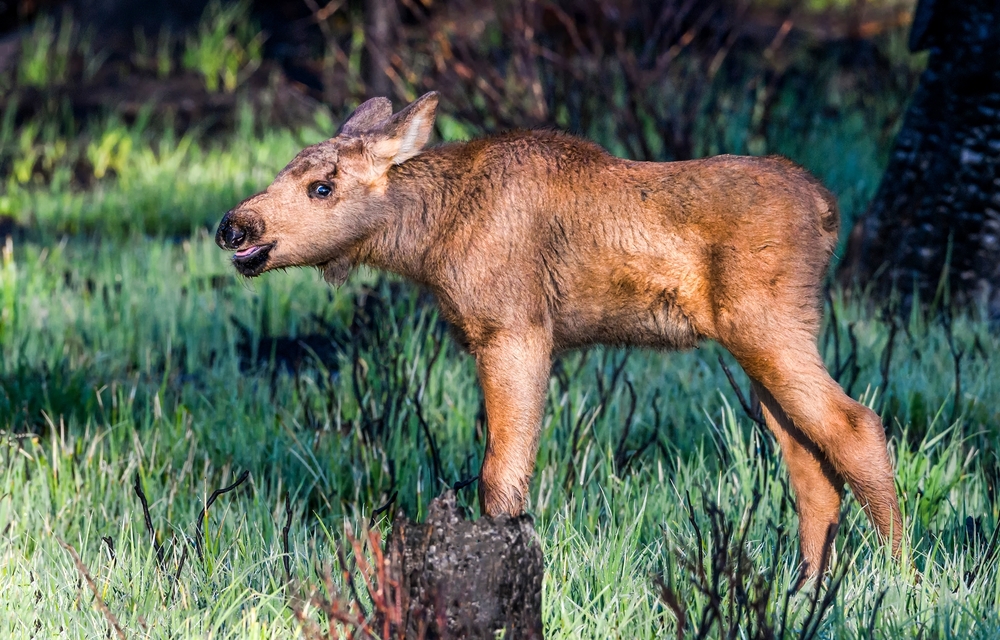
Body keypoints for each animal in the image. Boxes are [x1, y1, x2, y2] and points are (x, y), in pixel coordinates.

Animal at [216, 92, 903, 578]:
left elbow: (501, 473)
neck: (428, 241)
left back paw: (899, 578)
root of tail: (828, 210)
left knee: (856, 425)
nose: (234, 227)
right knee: (809, 459)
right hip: (764, 340)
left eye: (322, 186)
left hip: (764, 323)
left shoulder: (514, 328)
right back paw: (808, 588)